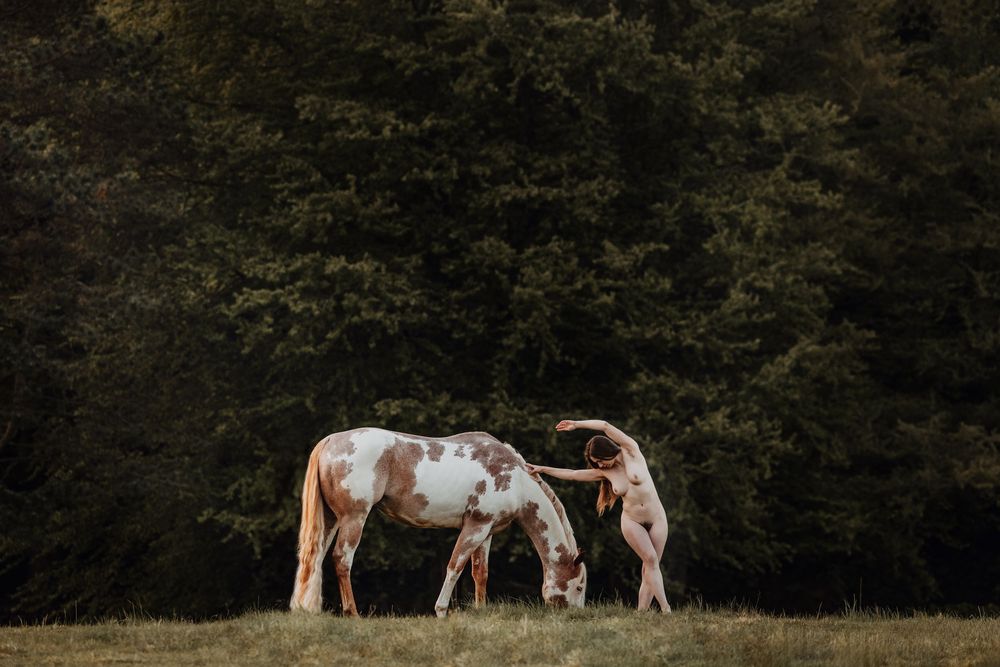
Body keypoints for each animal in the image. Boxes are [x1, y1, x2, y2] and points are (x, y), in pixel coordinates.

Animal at [289, 427, 587, 617]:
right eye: (579, 586)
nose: (576, 615)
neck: (516, 480)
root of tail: (331, 441)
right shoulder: (474, 527)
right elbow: (455, 567)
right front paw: (441, 610)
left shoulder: (486, 530)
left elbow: (480, 572)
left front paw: (481, 610)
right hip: (354, 518)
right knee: (342, 559)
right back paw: (352, 613)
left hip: (330, 520)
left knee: (313, 558)